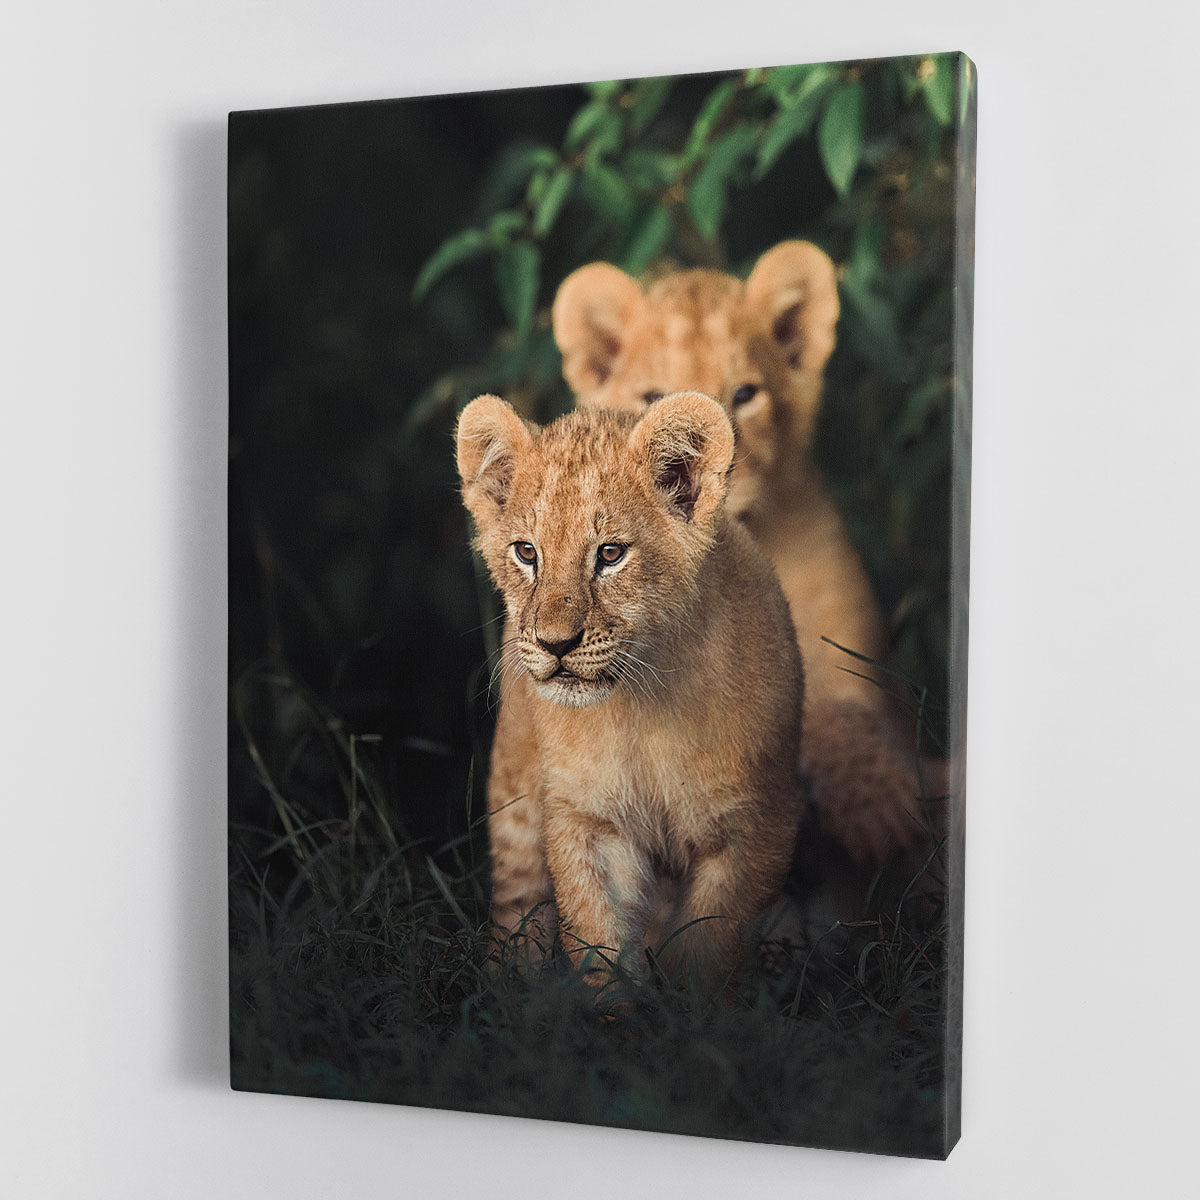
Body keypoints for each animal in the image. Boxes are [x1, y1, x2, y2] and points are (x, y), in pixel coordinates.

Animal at [456, 391, 805, 988]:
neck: (644, 707)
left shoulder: (755, 825)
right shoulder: (587, 821)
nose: (554, 644)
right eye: (526, 553)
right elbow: (598, 945)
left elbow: (709, 951)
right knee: (517, 909)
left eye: (611, 554)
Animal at [552, 241, 941, 886]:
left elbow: (841, 714)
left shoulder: (835, 638)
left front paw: (881, 808)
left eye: (745, 394)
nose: (699, 468)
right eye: (652, 398)